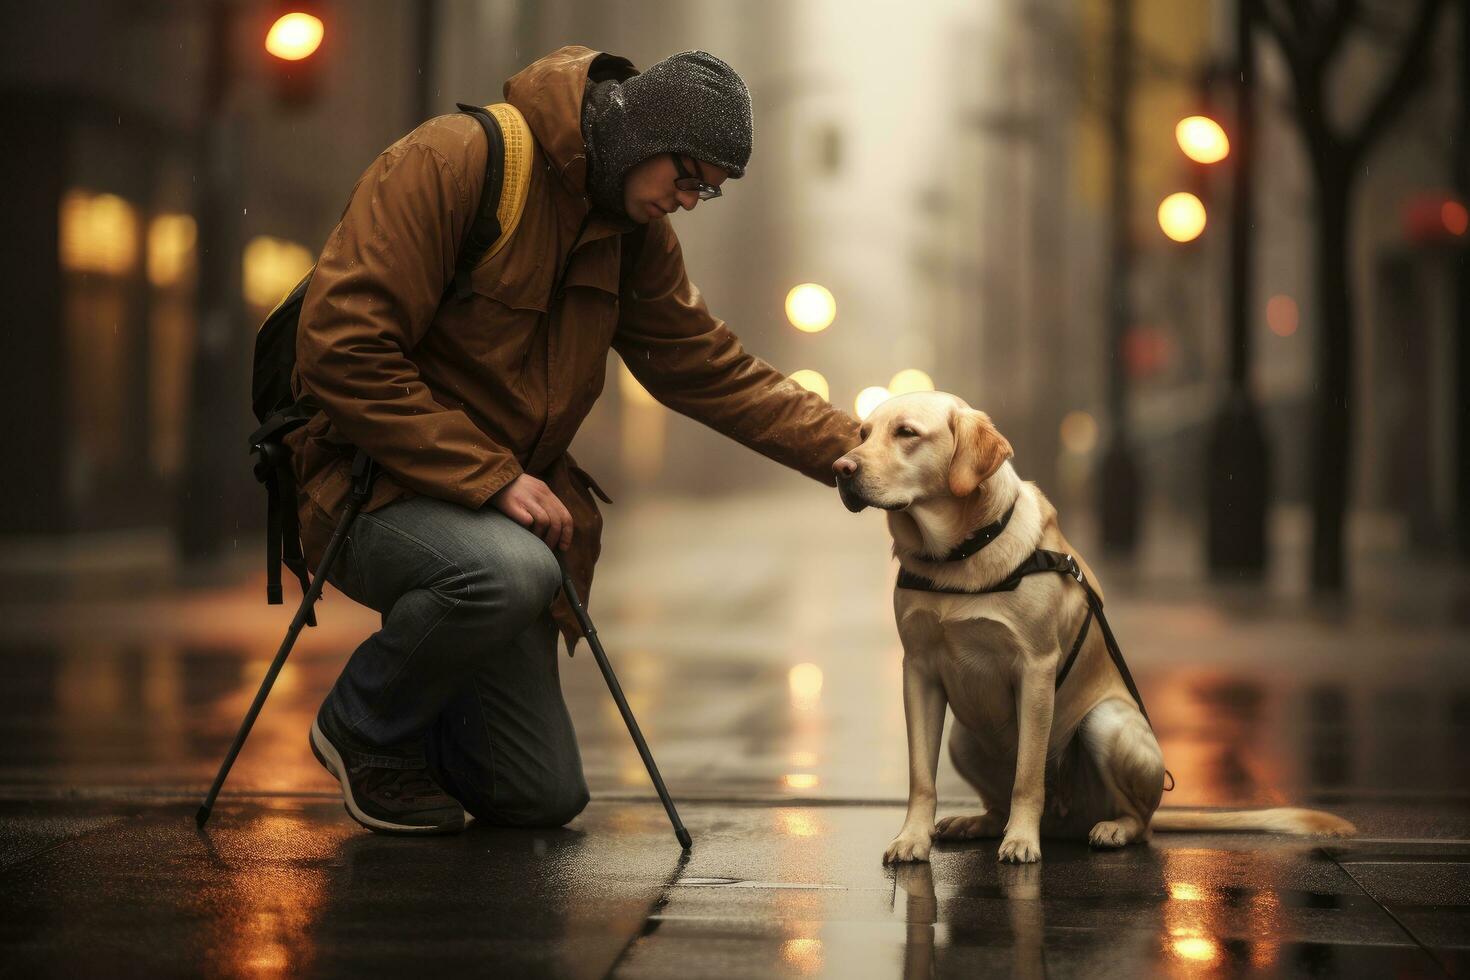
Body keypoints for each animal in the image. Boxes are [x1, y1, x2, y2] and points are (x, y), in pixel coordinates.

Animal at [840, 393, 1352, 863]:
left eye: (907, 433)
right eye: (862, 433)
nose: (841, 468)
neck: (955, 556)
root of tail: (1065, 820)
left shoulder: (1036, 669)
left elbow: (1028, 775)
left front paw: (1021, 841)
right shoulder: (919, 671)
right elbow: (921, 777)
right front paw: (912, 838)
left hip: (1107, 722)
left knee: (1139, 821)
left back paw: (1109, 829)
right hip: (963, 739)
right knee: (998, 802)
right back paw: (977, 822)